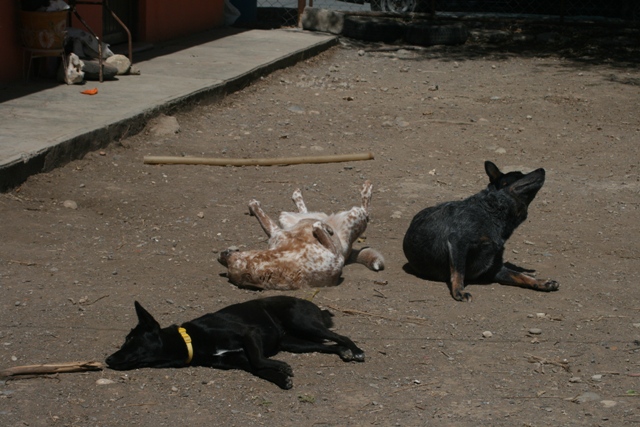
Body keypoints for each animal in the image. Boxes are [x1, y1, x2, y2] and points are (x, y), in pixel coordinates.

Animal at [105, 296, 364, 390]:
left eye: (130, 340)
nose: (107, 359)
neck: (191, 340)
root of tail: (314, 305)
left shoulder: (249, 334)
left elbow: (260, 360)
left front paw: (281, 367)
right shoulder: (240, 360)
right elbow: (259, 368)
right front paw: (281, 378)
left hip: (302, 323)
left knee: (341, 336)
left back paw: (357, 351)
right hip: (296, 344)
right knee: (328, 345)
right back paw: (344, 352)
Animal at [218, 181, 382, 290]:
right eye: (229, 268)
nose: (220, 255)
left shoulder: (277, 233)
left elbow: (263, 217)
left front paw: (253, 205)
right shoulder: (336, 258)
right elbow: (318, 227)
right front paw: (322, 227)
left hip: (286, 217)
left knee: (305, 212)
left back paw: (297, 196)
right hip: (356, 215)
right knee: (365, 210)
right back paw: (367, 189)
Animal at [404, 162, 560, 302]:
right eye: (518, 175)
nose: (542, 169)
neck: (491, 212)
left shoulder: (494, 268)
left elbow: (520, 275)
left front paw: (541, 282)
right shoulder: (457, 242)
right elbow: (459, 271)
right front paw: (459, 291)